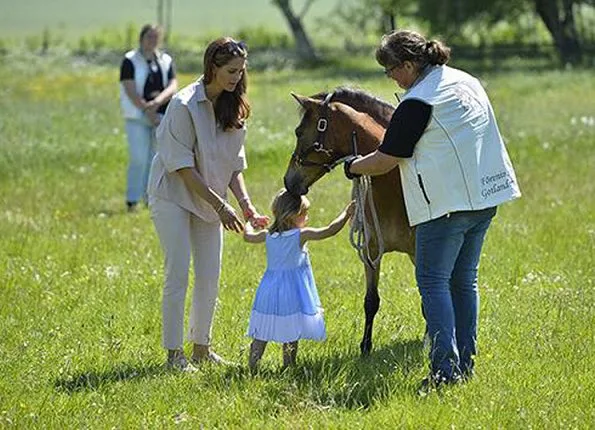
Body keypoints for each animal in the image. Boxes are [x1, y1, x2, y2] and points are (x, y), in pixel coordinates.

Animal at [286, 87, 416, 356]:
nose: (288, 182)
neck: (393, 183)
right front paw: (365, 347)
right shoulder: (371, 251)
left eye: (299, 132)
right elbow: (371, 301)